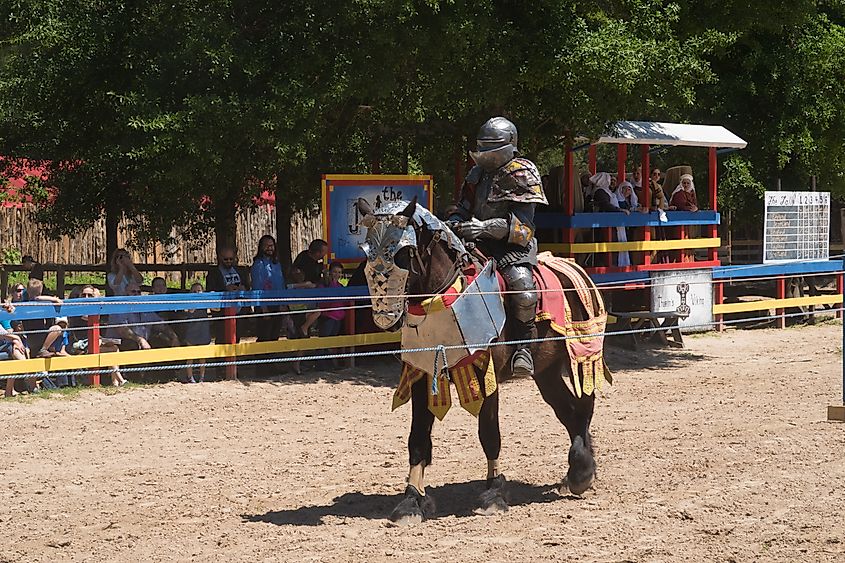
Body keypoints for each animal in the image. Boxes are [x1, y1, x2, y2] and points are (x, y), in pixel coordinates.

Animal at [360, 198, 604, 524]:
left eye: (403, 252)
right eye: (367, 252)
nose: (384, 315)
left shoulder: (485, 376)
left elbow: (489, 434)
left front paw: (494, 494)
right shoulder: (423, 375)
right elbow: (418, 438)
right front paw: (411, 500)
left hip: (582, 355)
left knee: (585, 405)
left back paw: (581, 471)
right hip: (547, 372)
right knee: (569, 411)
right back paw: (578, 472)